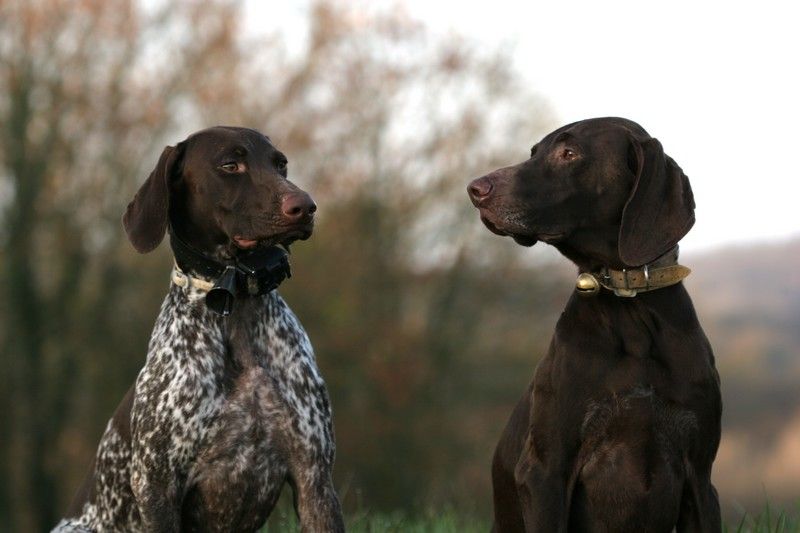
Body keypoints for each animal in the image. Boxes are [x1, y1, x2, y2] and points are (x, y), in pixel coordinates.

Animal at [55, 127, 344, 528]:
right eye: (230, 165)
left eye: (280, 164)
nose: (304, 206)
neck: (235, 301)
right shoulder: (157, 486)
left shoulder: (314, 476)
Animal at [466, 118, 720, 528]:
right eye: (533, 152)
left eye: (569, 153)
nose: (476, 189)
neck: (630, 306)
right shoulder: (545, 473)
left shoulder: (700, 475)